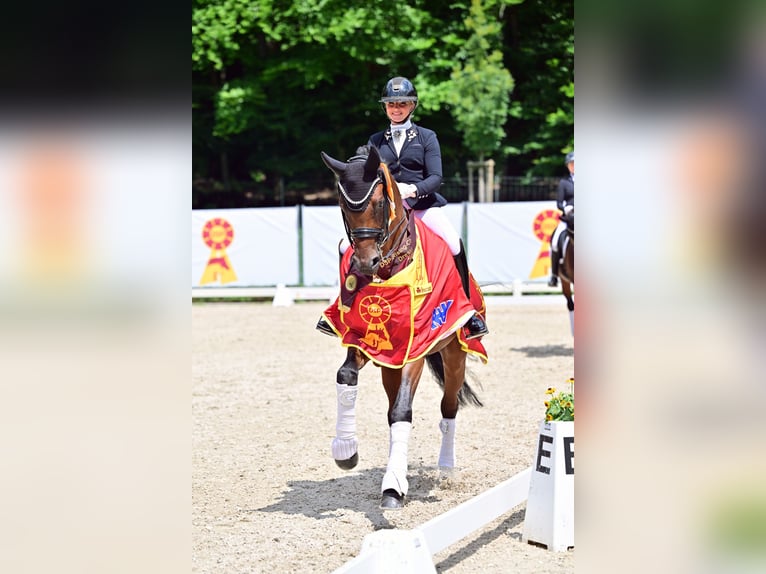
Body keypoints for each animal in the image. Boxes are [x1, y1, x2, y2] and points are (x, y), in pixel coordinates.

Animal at [318, 145, 487, 509]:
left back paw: (446, 469)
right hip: (389, 367)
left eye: (380, 204)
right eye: (343, 206)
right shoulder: (366, 341)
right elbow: (346, 376)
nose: (364, 263)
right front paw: (345, 451)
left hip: (454, 354)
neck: (390, 270)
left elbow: (402, 412)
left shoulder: (416, 348)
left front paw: (393, 488)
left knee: (449, 407)